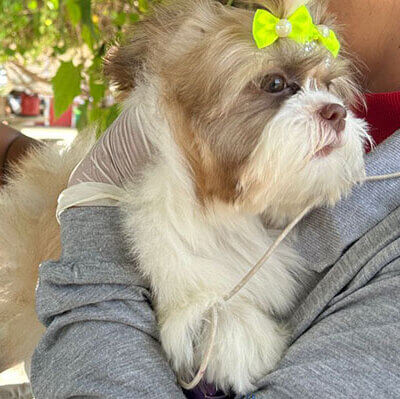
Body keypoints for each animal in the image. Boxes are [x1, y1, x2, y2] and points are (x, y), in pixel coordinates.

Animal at [0, 0, 368, 396]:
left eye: (329, 86)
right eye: (275, 83)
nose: (335, 111)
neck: (222, 206)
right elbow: (195, 291)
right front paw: (234, 327)